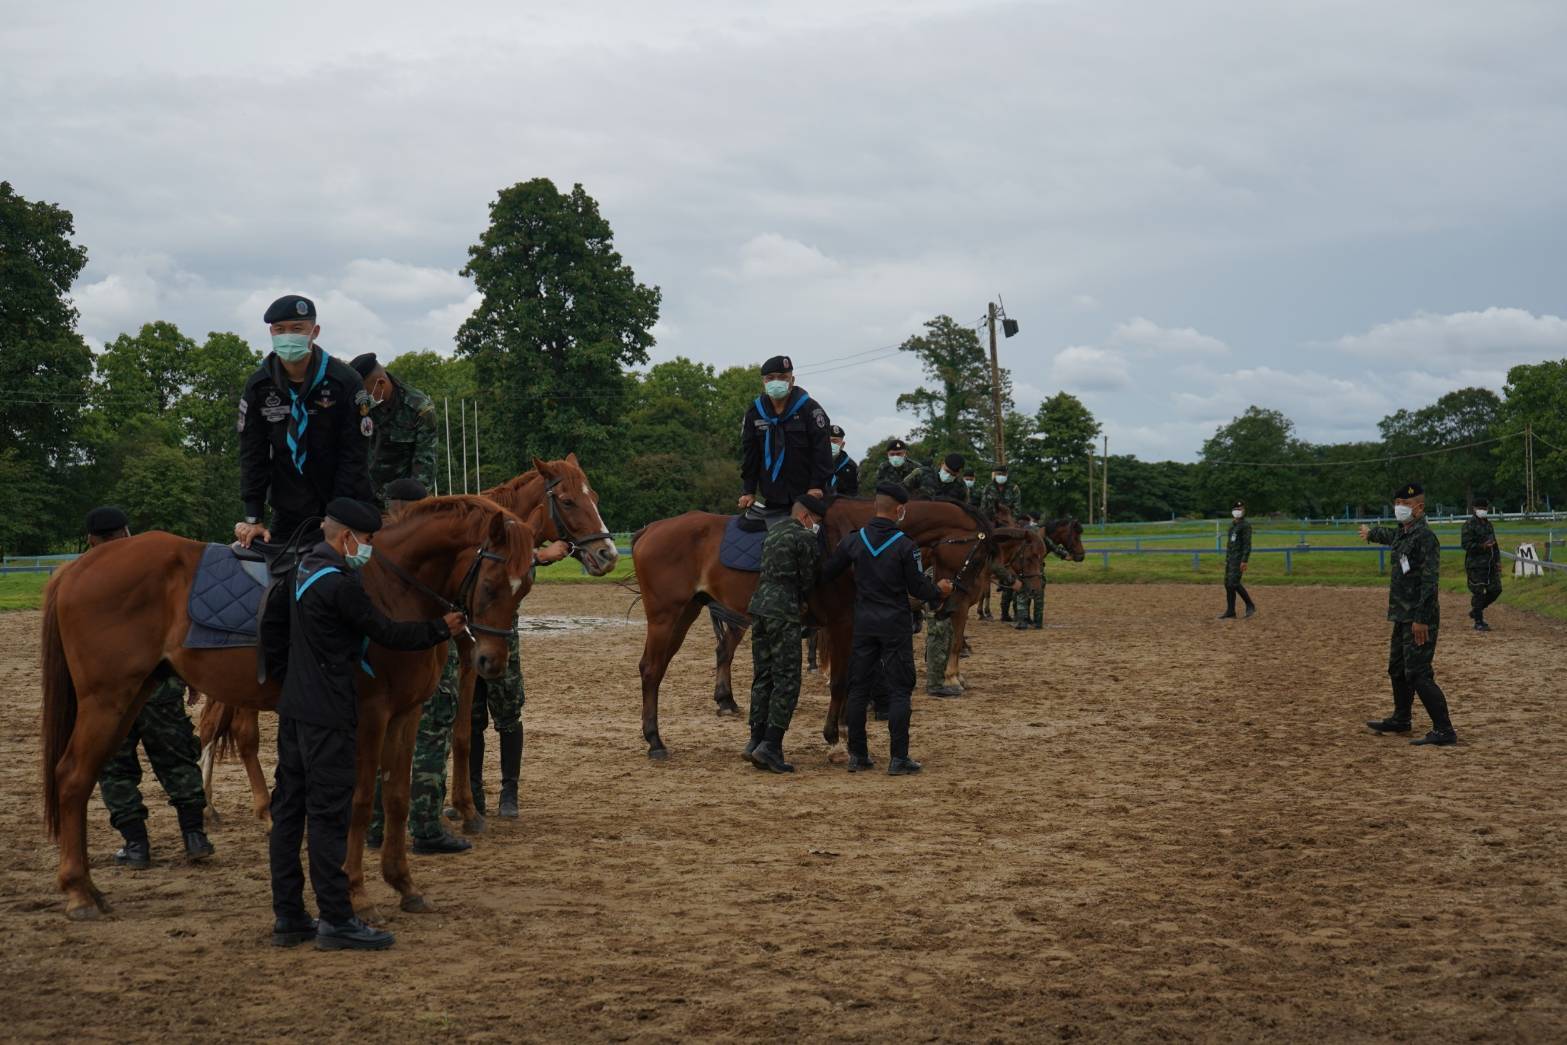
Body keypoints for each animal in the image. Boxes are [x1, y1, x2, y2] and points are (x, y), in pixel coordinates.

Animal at [39, 495, 536, 920]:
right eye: (491, 585)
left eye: (526, 587)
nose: (491, 662)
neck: (388, 590)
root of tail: (78, 567)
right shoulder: (369, 715)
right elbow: (359, 800)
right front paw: (356, 894)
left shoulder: (405, 713)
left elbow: (396, 796)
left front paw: (404, 885)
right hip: (107, 700)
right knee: (73, 777)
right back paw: (78, 891)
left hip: (133, 696)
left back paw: (91, 886)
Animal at [195, 454, 617, 834]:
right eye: (568, 501)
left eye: (595, 496)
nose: (607, 554)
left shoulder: (467, 662)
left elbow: (463, 735)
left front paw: (465, 807)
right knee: (240, 734)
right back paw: (257, 809)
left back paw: (216, 804)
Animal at [630, 496, 1009, 760]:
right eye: (978, 557)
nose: (952, 606)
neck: (863, 534)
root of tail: (650, 529)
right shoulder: (843, 623)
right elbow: (841, 680)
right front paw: (835, 736)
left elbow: (853, 678)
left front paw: (845, 726)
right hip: (665, 617)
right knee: (651, 670)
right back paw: (655, 740)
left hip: (686, 613)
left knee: (665, 667)